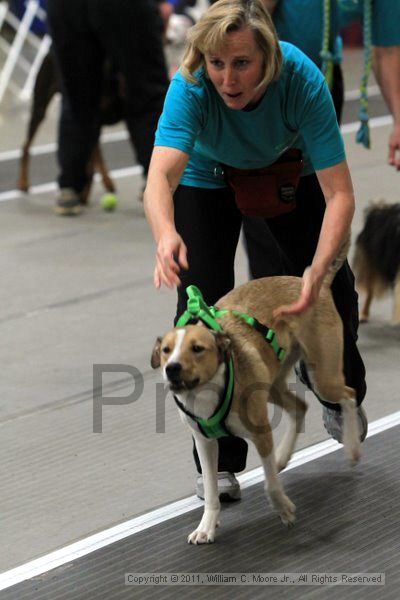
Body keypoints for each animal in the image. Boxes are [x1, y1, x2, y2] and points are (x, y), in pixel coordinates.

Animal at [151, 276, 362, 544]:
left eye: (197, 348)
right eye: (166, 351)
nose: (172, 368)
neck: (207, 390)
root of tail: (315, 283)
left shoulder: (261, 433)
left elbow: (270, 484)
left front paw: (284, 509)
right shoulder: (204, 442)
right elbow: (211, 490)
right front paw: (206, 527)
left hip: (322, 378)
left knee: (349, 395)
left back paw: (352, 449)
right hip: (272, 384)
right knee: (299, 406)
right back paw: (281, 456)